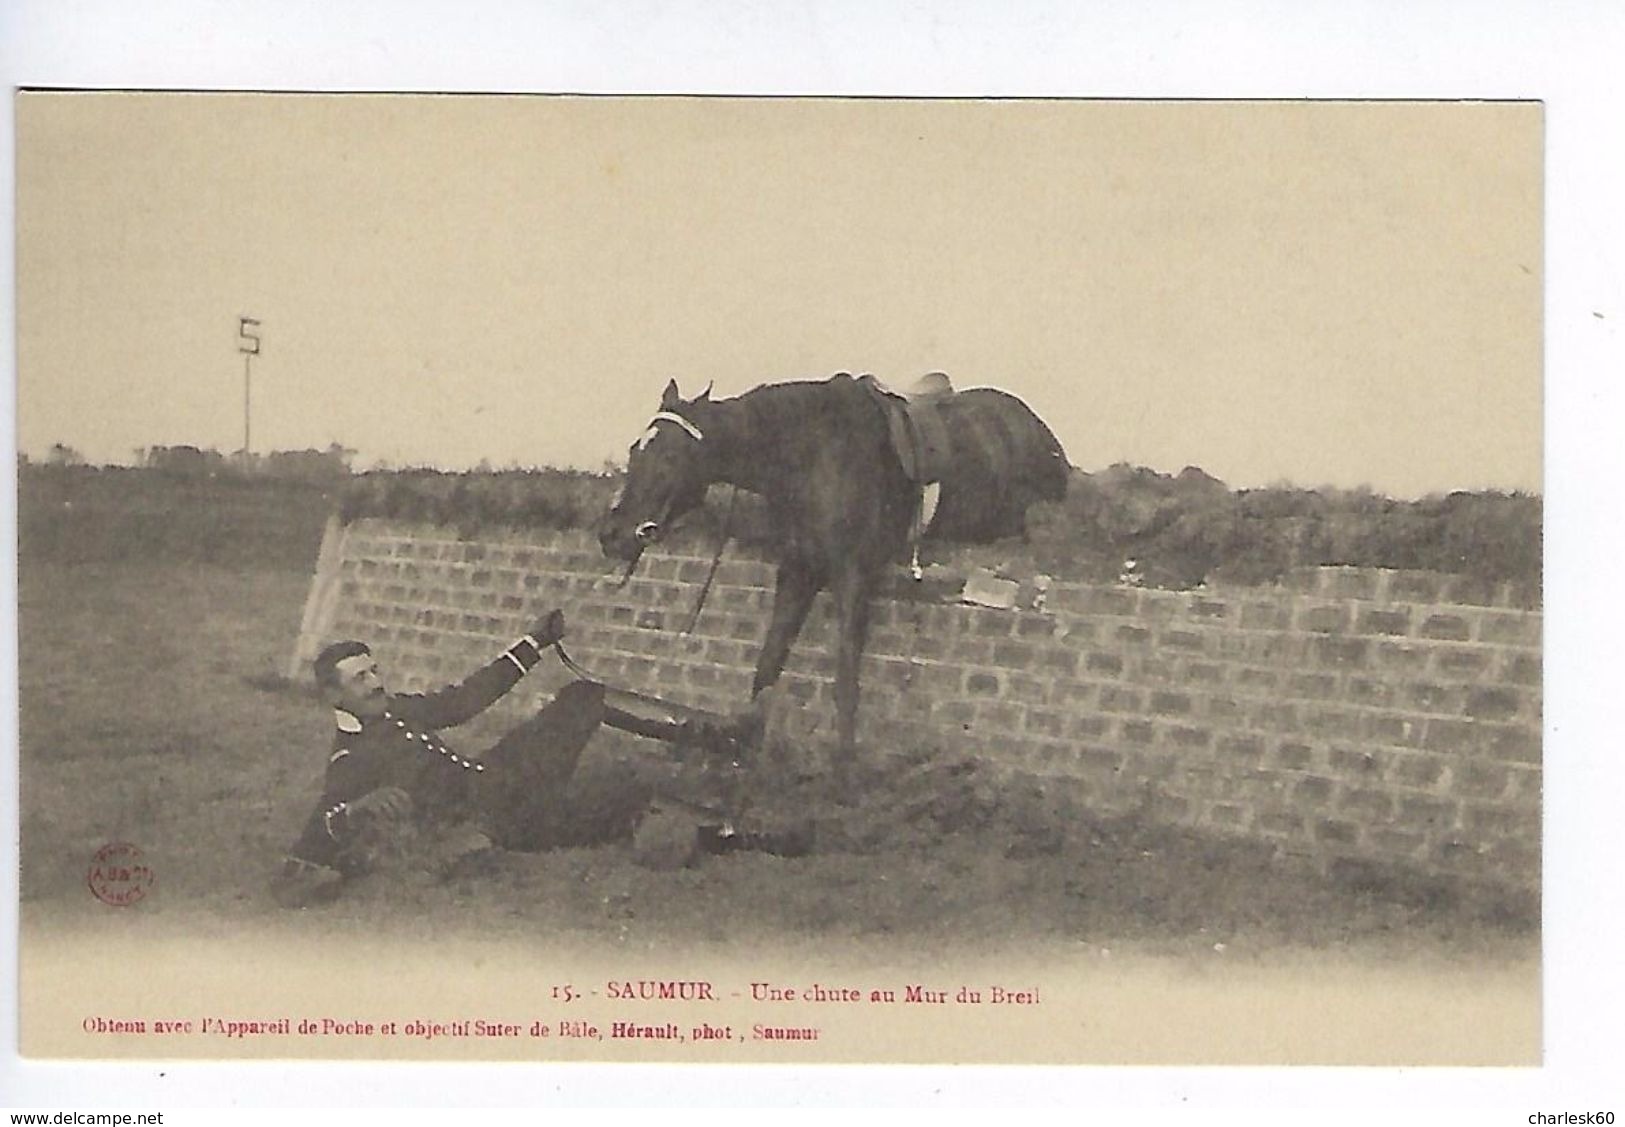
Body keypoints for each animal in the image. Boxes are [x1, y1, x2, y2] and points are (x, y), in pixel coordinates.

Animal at [598, 375, 1066, 782]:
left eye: (671, 457)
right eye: (635, 451)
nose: (613, 535)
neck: (813, 455)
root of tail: (1041, 432)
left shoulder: (852, 576)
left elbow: (845, 677)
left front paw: (843, 769)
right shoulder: (797, 571)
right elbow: (767, 666)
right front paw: (743, 747)